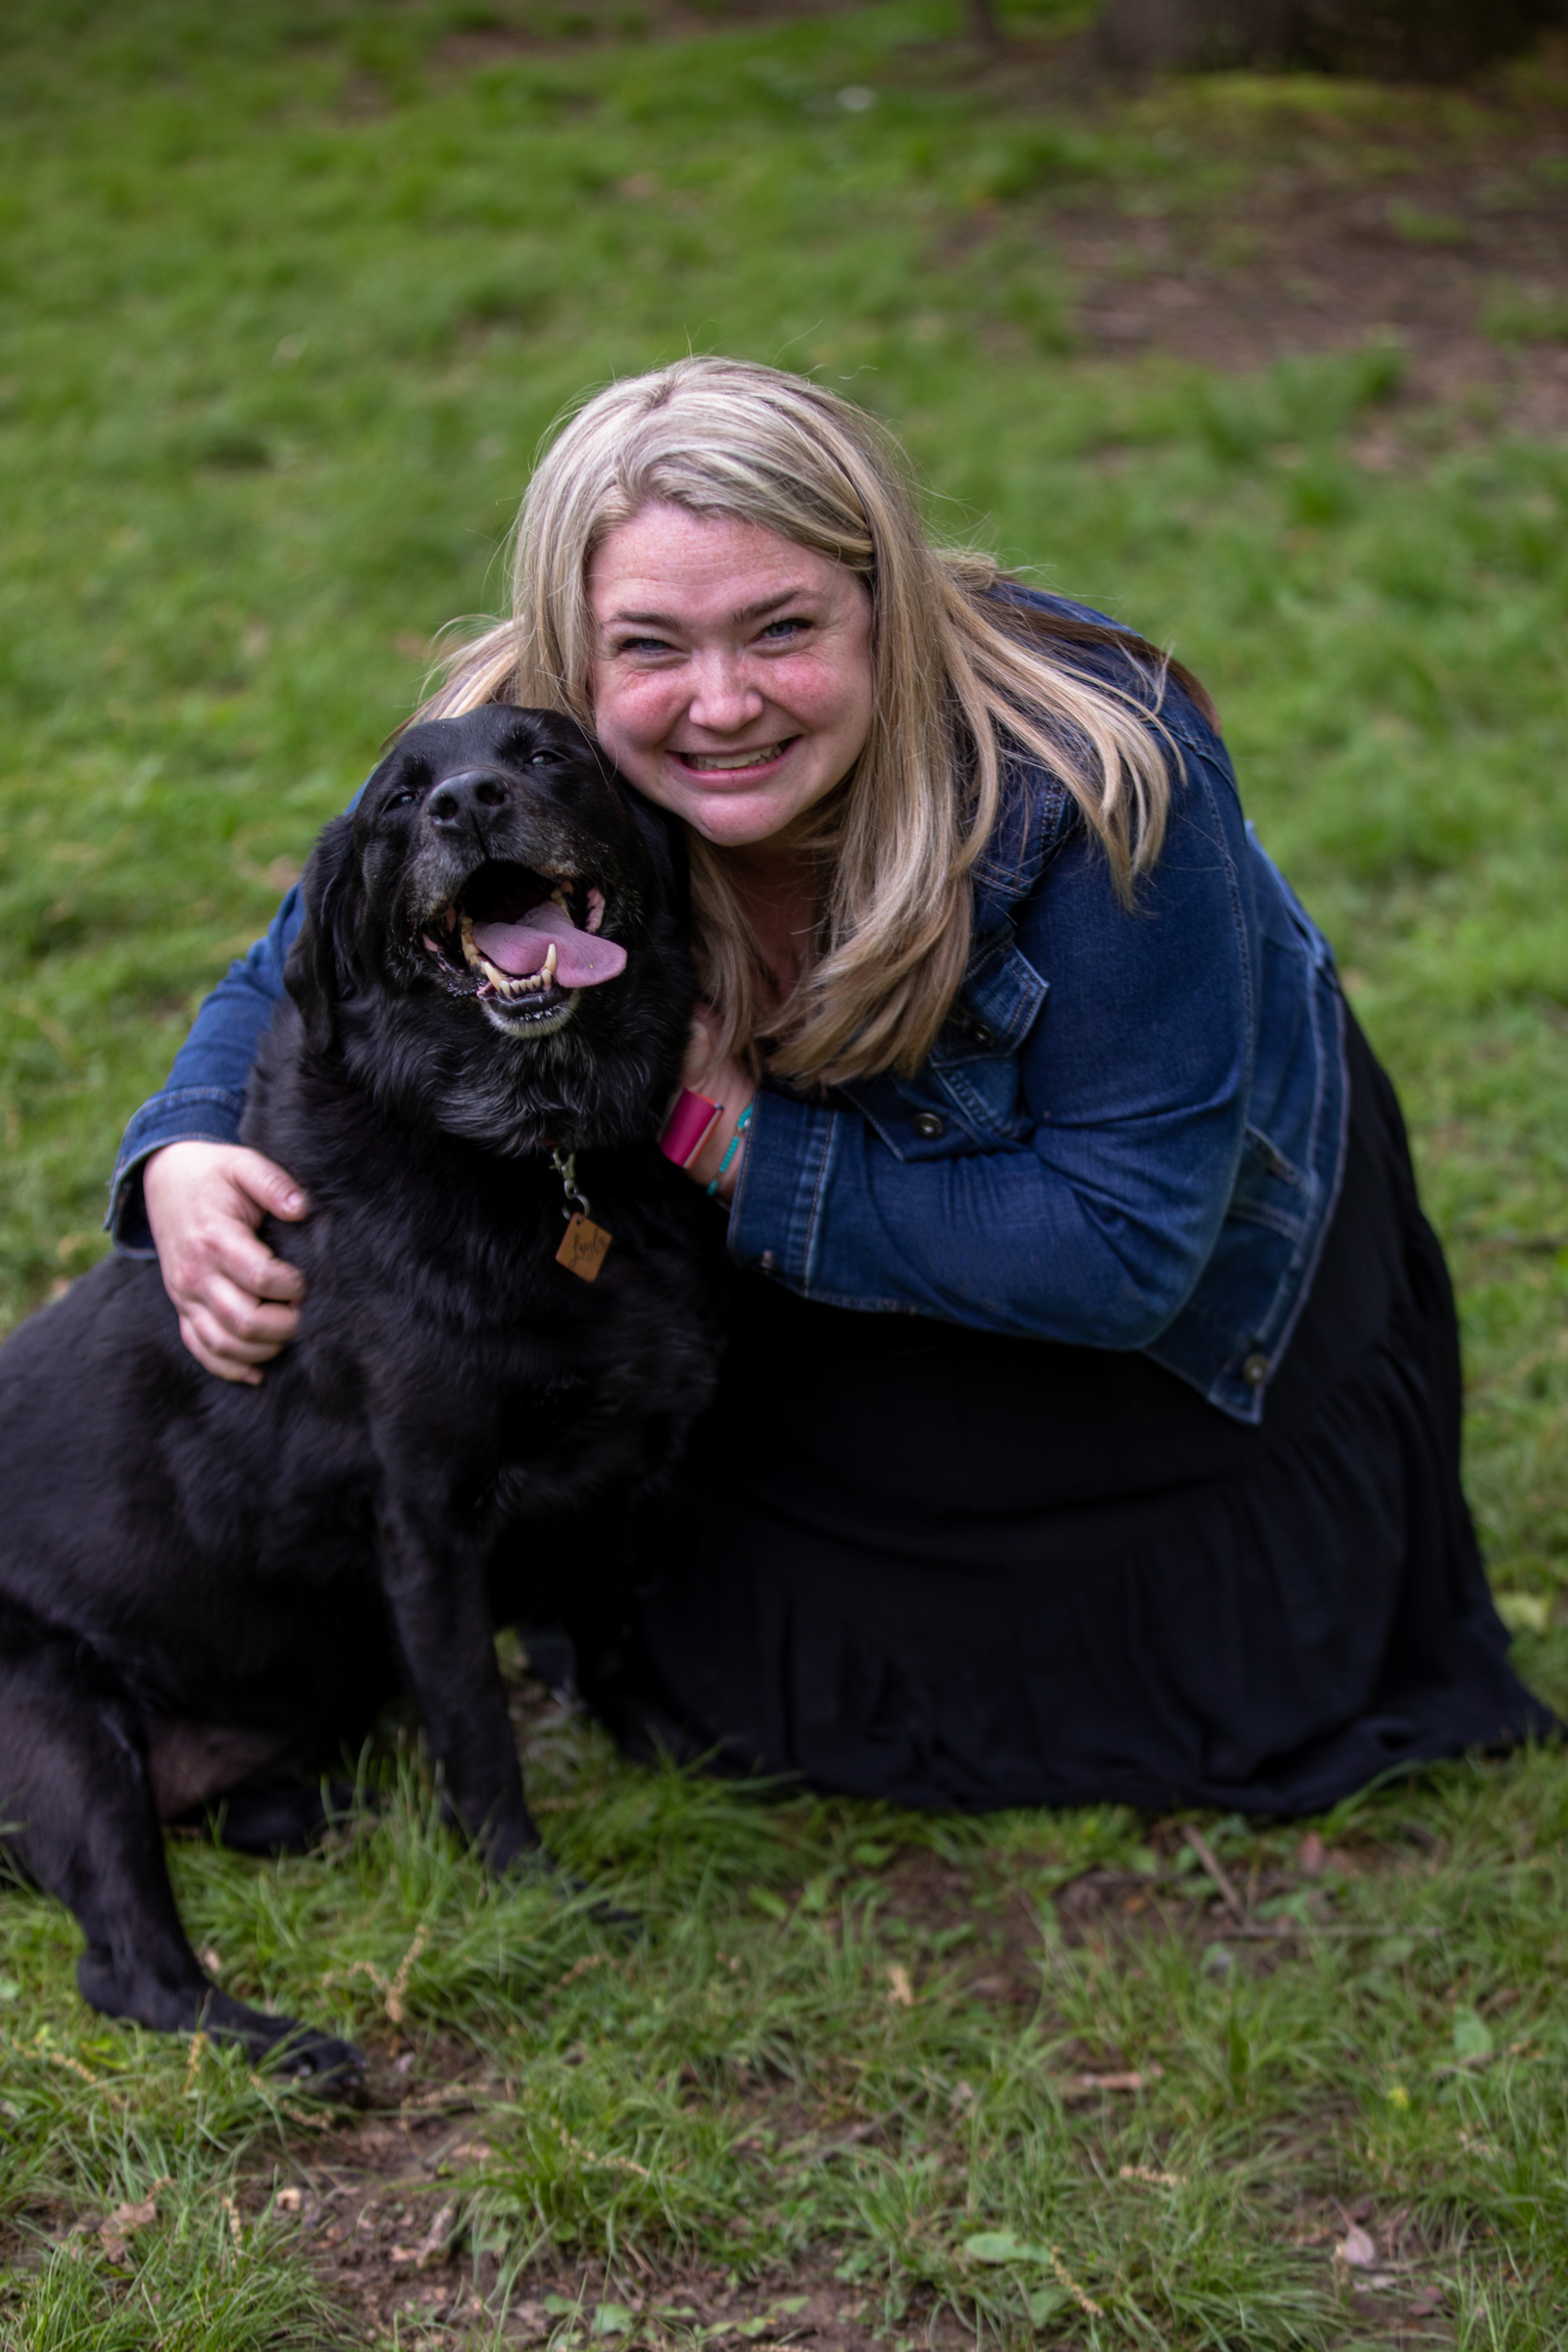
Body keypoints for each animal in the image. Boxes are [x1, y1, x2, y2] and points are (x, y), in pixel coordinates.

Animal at [0, 706, 723, 2088]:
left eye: (549, 753)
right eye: (398, 800)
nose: (469, 804)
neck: (539, 1157)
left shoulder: (624, 1460)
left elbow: (611, 1631)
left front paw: (669, 1753)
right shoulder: (427, 1527)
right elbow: (480, 1735)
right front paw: (535, 1897)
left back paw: (348, 1813)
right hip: (55, 1722)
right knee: (126, 1967)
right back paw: (293, 2048)